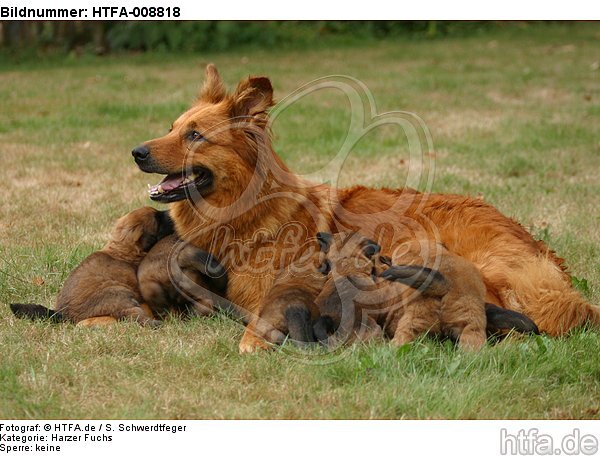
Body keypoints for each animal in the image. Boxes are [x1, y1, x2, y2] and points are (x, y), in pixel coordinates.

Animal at [9, 207, 173, 328]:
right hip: (116, 293)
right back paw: (154, 324)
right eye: (158, 219)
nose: (171, 214)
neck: (121, 250)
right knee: (131, 314)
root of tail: (62, 314)